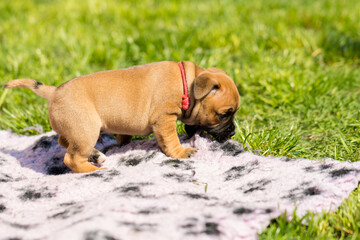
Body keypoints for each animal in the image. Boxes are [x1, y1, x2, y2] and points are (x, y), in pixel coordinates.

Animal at [4, 60, 240, 172]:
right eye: (223, 115)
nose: (233, 132)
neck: (187, 84)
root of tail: (53, 92)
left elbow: (124, 135)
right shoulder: (164, 119)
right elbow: (171, 140)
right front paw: (181, 152)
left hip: (77, 129)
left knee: (64, 140)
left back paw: (95, 155)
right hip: (86, 130)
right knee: (71, 158)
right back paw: (94, 170)